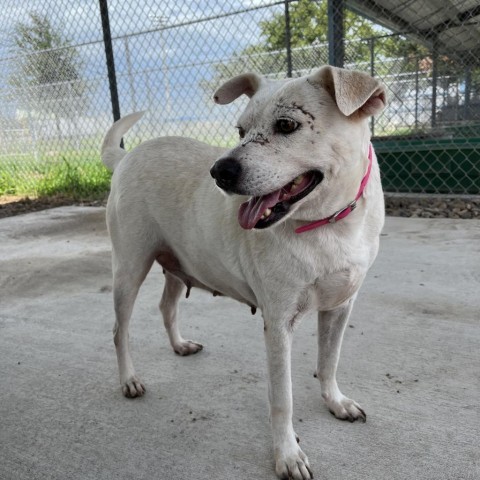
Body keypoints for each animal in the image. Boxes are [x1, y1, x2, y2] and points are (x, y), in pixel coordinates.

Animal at [101, 64, 386, 480]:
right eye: (240, 131)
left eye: (287, 125)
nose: (219, 171)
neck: (327, 226)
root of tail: (127, 156)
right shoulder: (279, 323)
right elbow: (282, 398)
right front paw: (287, 455)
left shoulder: (340, 308)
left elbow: (328, 362)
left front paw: (335, 402)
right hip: (129, 270)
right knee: (120, 331)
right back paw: (128, 380)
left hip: (179, 264)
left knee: (167, 307)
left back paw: (179, 344)